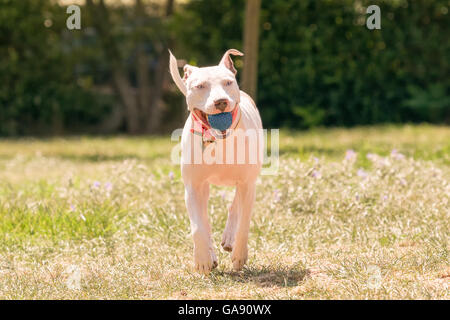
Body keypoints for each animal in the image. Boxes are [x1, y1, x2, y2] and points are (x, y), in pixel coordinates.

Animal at [169, 48, 262, 274]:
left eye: (228, 82)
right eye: (200, 86)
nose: (221, 101)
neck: (219, 140)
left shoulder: (248, 183)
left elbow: (244, 222)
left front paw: (239, 256)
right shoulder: (193, 187)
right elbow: (198, 227)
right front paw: (203, 259)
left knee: (236, 206)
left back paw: (229, 238)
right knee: (205, 221)